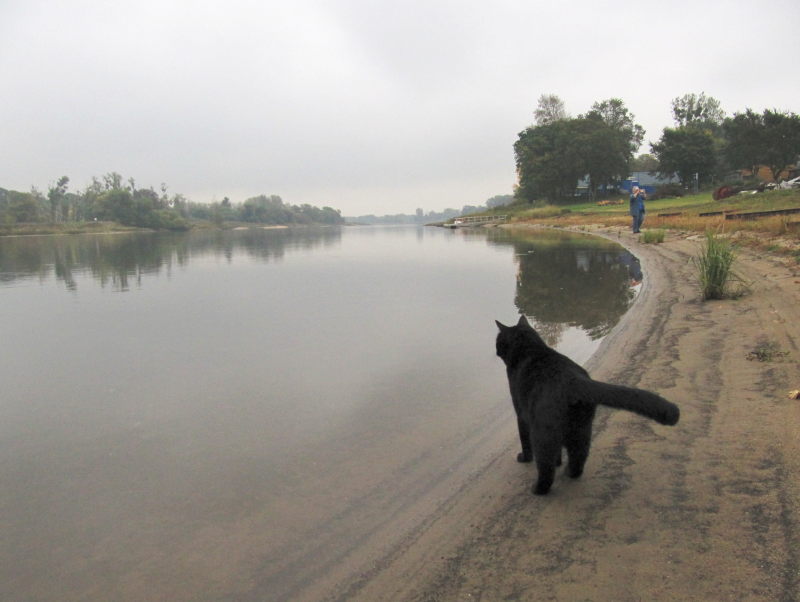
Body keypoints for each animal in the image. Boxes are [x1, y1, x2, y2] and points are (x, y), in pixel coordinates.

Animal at [496, 314, 680, 492]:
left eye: (498, 340)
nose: (496, 350)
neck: (531, 350)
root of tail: (573, 381)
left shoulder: (520, 414)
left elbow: (524, 440)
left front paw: (524, 458)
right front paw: (559, 463)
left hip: (543, 433)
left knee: (546, 466)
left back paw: (538, 489)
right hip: (581, 430)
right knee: (579, 457)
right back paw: (569, 472)